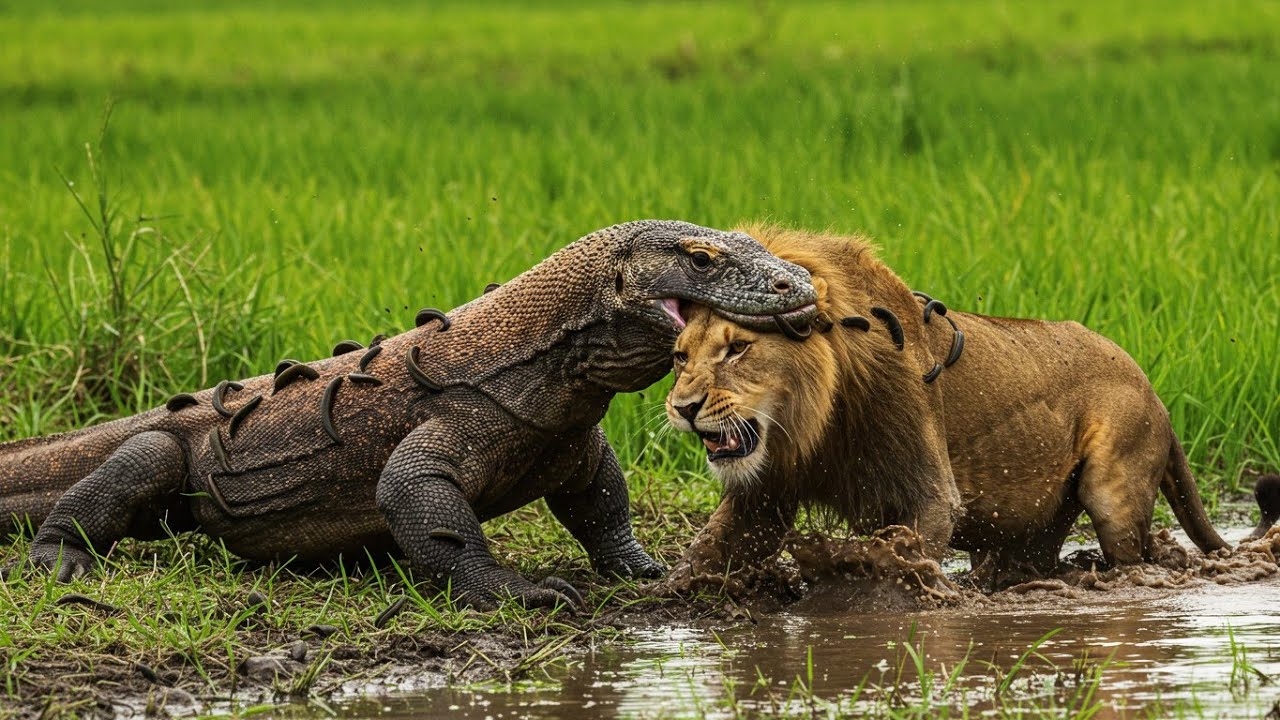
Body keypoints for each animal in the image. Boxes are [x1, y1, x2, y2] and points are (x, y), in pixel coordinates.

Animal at [664, 224, 1271, 588]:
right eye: (678, 357)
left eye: (738, 349)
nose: (684, 407)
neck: (814, 420)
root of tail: (1152, 387)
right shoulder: (764, 493)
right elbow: (709, 552)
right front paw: (673, 597)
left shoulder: (927, 490)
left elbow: (904, 556)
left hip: (1115, 485)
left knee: (1132, 554)